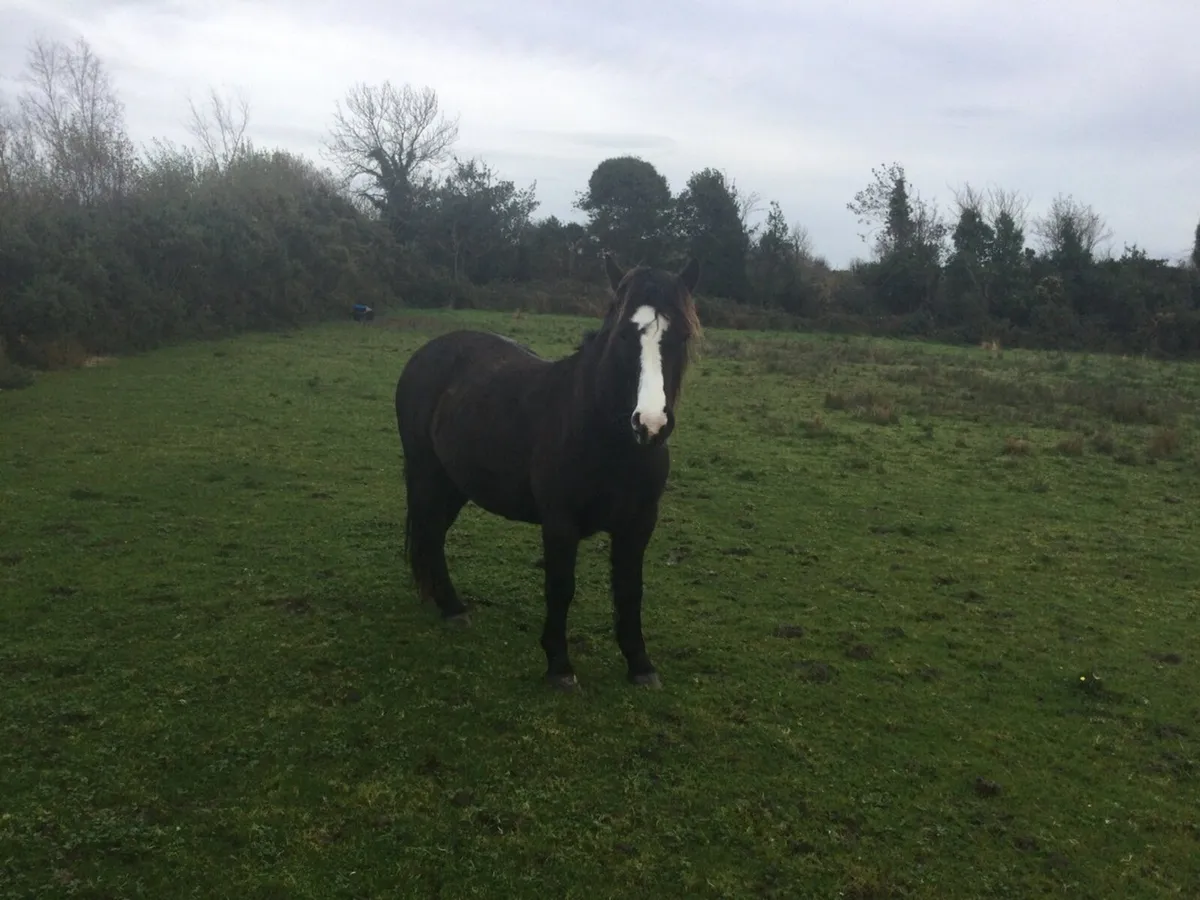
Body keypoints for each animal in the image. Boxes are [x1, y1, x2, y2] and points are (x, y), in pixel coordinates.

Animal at [393, 253, 702, 691]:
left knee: (433, 533)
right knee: (431, 534)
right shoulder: (559, 522)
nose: (651, 424)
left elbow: (630, 591)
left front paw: (640, 664)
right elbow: (560, 588)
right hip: (426, 475)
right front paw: (559, 666)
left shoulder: (639, 524)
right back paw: (452, 608)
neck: (605, 440)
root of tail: (427, 353)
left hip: (454, 483)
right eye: (624, 336)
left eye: (682, 336)